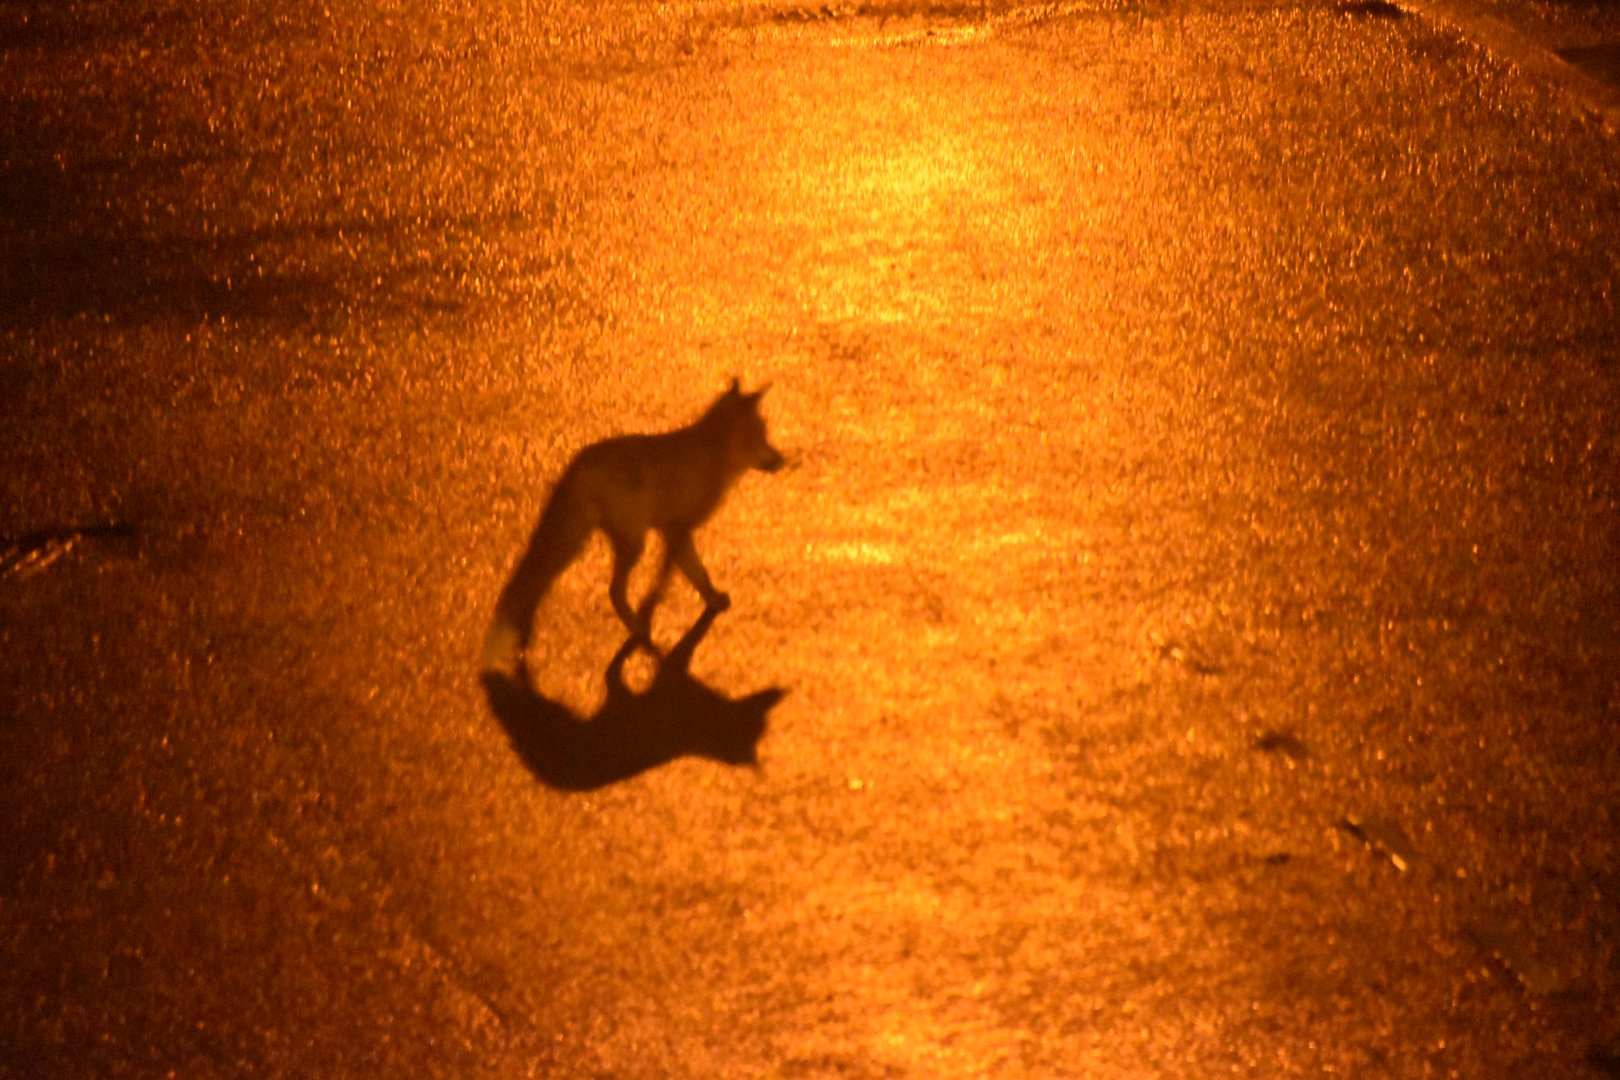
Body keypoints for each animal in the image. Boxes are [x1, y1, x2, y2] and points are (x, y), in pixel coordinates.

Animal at [481, 378, 785, 676]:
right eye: (762, 435)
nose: (783, 460)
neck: (714, 454)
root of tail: (580, 463)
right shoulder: (676, 529)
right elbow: (685, 575)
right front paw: (689, 604)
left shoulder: (671, 530)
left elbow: (689, 573)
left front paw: (704, 599)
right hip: (632, 543)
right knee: (612, 591)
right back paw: (637, 629)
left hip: (581, 542)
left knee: (541, 583)